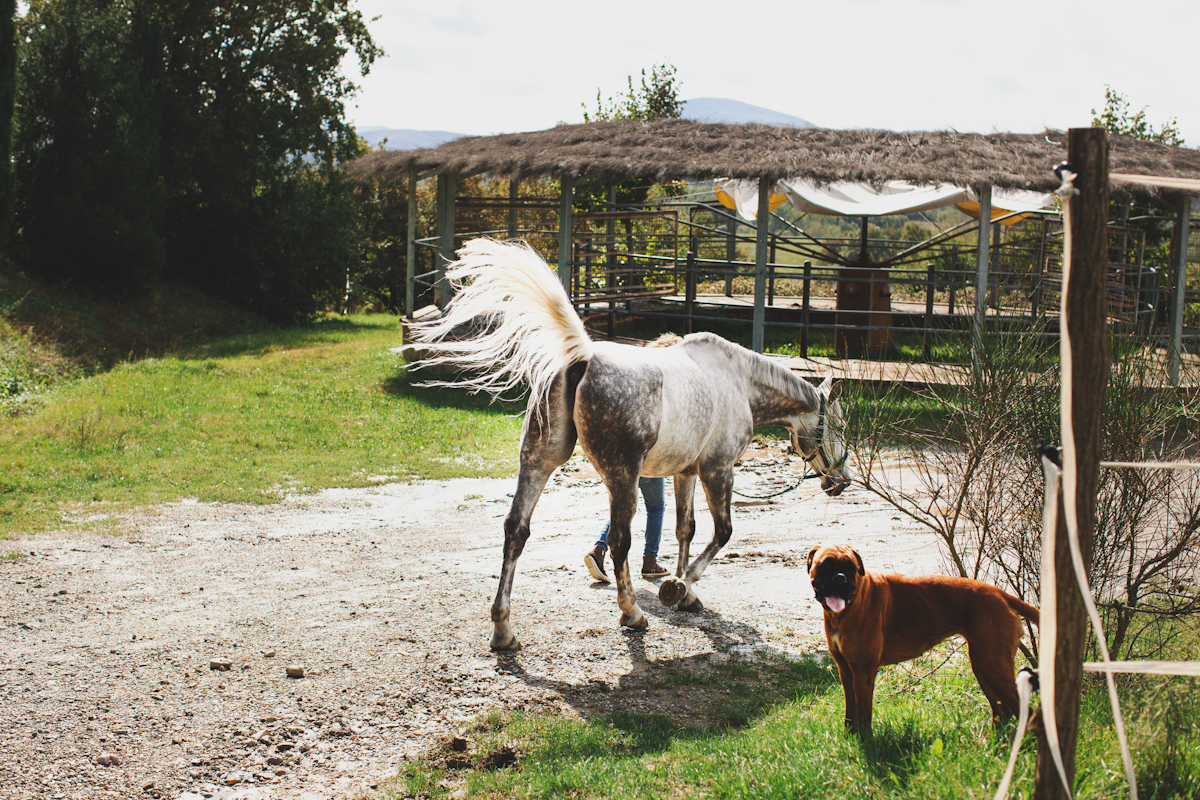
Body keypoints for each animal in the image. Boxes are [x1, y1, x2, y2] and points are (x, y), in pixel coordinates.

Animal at [412, 237, 854, 652]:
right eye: (840, 424)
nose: (843, 480)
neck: (740, 383)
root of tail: (582, 357)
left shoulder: (685, 473)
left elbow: (685, 529)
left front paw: (686, 593)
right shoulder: (718, 470)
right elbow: (723, 532)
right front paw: (680, 585)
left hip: (539, 461)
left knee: (516, 530)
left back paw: (504, 631)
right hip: (622, 476)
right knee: (619, 541)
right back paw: (632, 614)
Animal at [806, 542, 1041, 734]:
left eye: (851, 568)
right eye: (825, 565)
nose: (840, 578)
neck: (846, 610)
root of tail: (1003, 595)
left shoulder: (863, 672)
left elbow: (864, 714)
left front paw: (865, 741)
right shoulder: (846, 671)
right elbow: (851, 709)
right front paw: (850, 736)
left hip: (993, 666)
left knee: (1027, 713)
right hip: (983, 666)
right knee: (1001, 710)